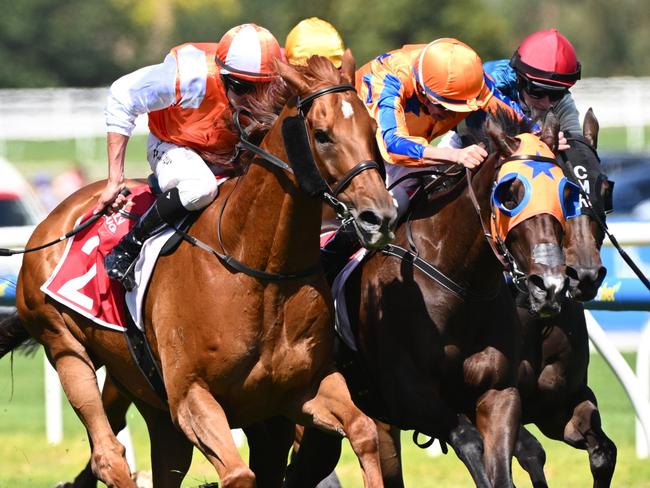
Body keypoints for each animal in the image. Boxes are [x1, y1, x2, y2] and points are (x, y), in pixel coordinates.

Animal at [2, 54, 398, 488]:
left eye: (372, 131)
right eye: (323, 135)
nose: (380, 216)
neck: (260, 269)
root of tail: (54, 220)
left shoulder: (302, 389)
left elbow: (364, 431)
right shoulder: (192, 396)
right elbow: (239, 474)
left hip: (144, 392)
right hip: (65, 346)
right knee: (108, 455)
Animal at [284, 110, 572, 488]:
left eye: (566, 193)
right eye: (509, 194)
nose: (549, 285)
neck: (460, 282)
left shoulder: (499, 393)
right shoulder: (409, 394)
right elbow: (469, 441)